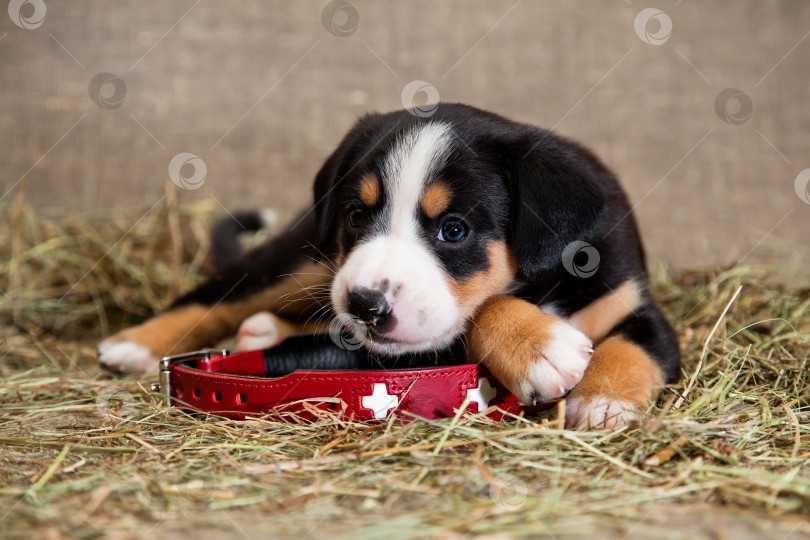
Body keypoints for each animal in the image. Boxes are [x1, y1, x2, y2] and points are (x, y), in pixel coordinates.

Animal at [98, 103, 680, 428]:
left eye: (454, 229)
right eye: (357, 214)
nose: (364, 306)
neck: (543, 287)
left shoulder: (633, 303)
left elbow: (632, 346)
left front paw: (602, 400)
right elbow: (483, 309)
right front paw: (540, 347)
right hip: (302, 256)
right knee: (217, 295)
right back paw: (133, 345)